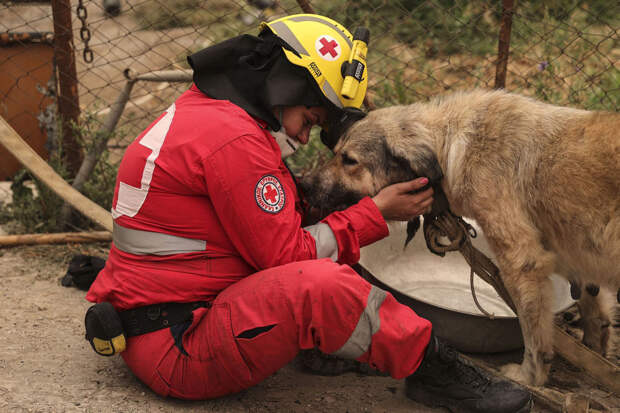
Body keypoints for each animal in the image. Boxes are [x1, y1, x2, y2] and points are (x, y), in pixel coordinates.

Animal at [302, 88, 620, 384]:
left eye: (349, 160)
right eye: (335, 153)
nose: (304, 184)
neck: (452, 146)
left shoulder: (523, 262)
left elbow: (534, 337)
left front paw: (530, 377)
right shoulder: (570, 250)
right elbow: (592, 303)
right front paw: (596, 349)